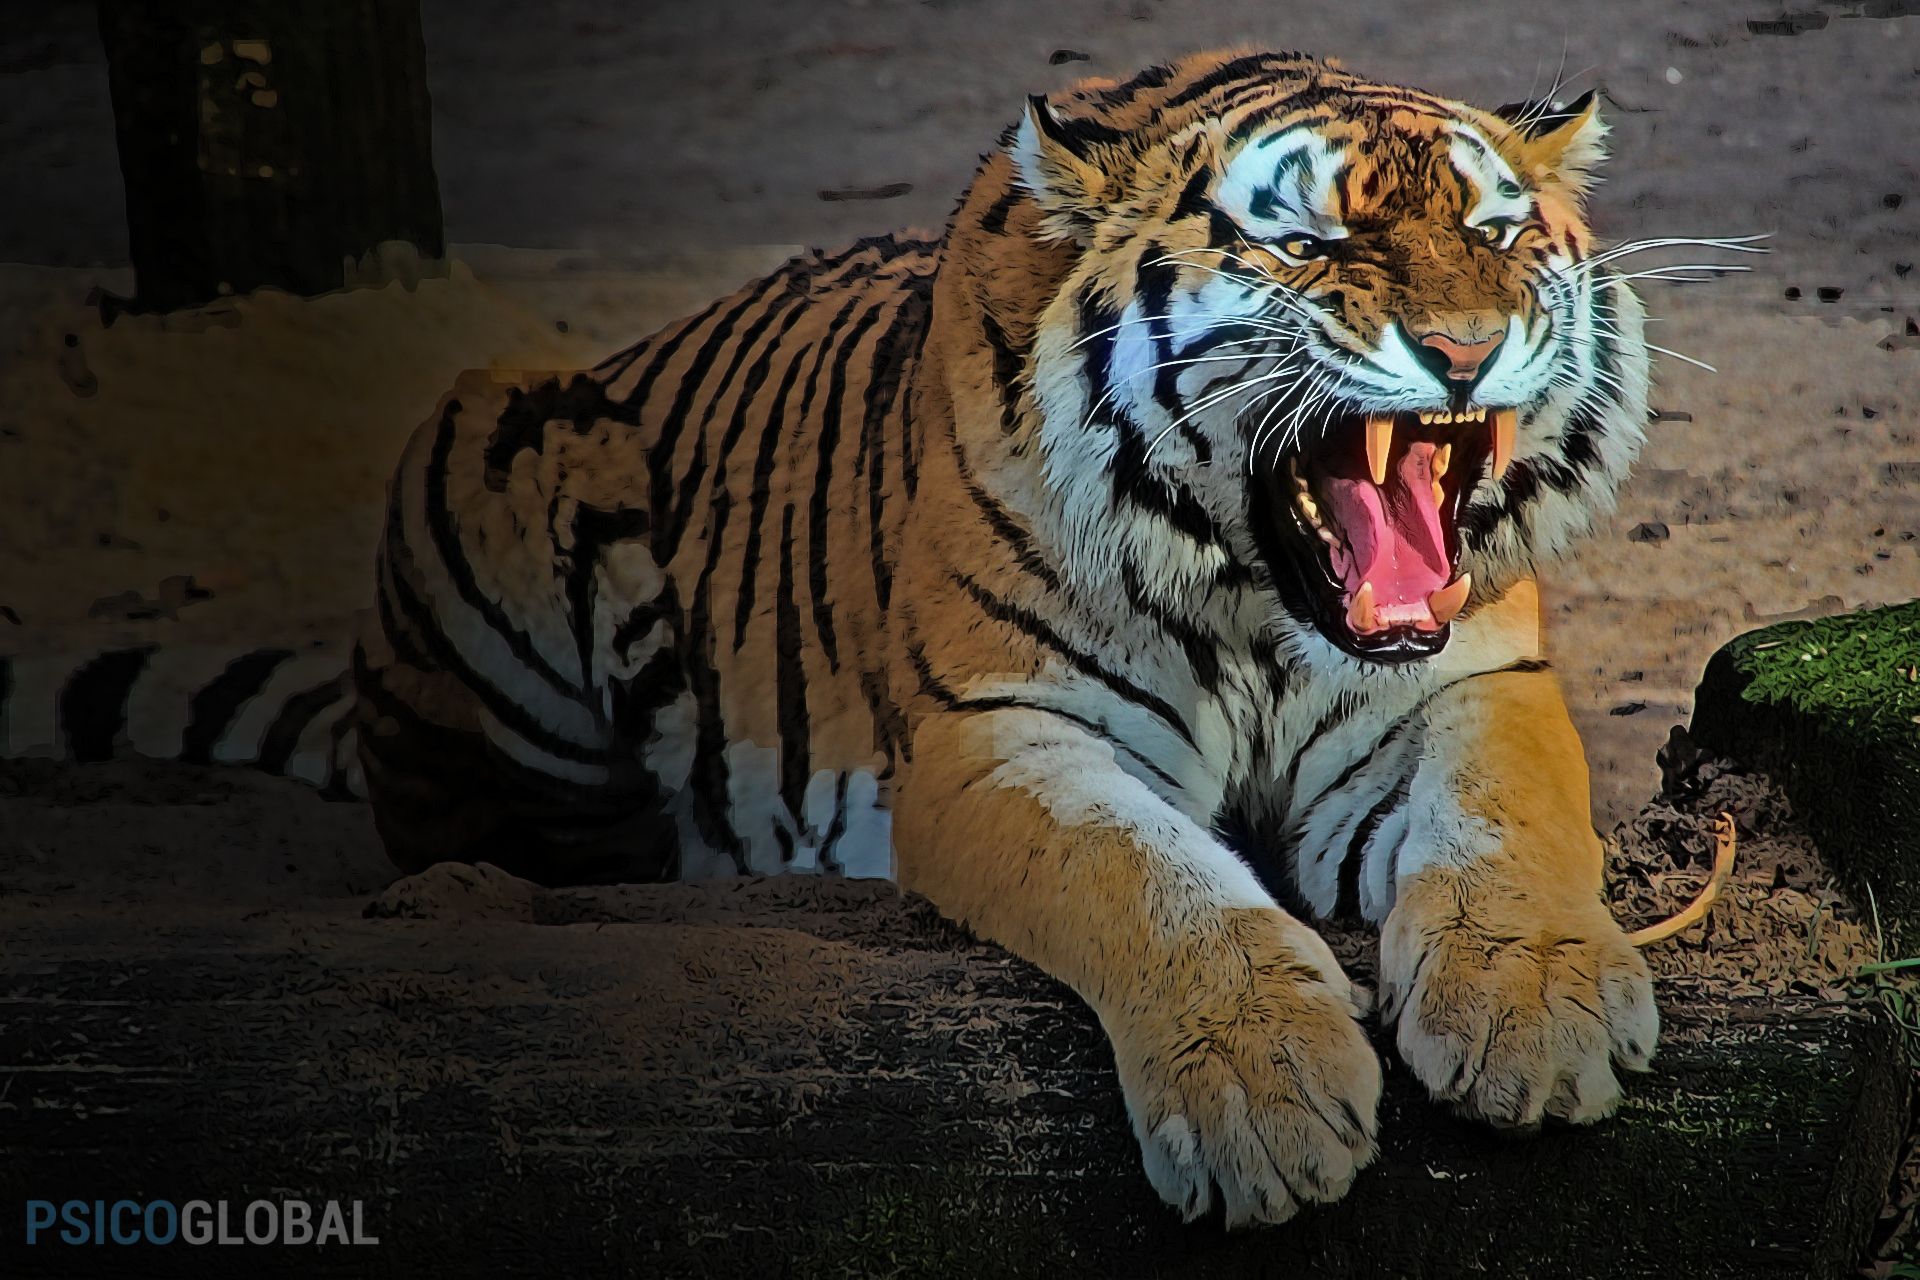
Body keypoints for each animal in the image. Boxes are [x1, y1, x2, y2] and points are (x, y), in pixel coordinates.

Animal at [3, 50, 1681, 1228]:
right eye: (1310, 247)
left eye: (1497, 232)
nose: (1462, 351)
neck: (1259, 599)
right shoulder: (999, 736)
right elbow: (1156, 885)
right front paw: (1262, 1102)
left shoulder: (1468, 683)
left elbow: (1506, 822)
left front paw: (1536, 1017)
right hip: (496, 433)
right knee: (478, 832)